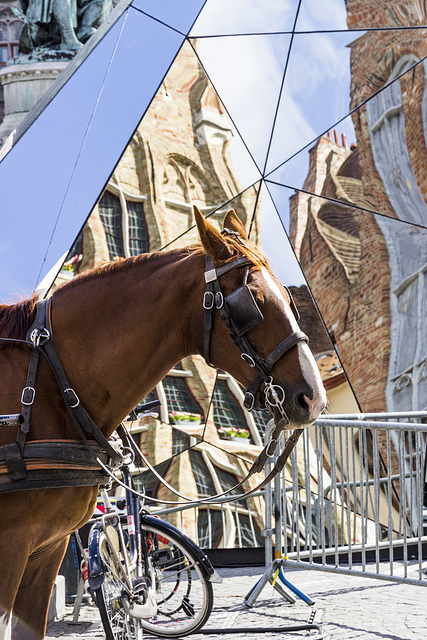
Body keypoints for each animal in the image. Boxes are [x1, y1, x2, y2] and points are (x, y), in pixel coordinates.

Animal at [0, 208, 324, 636]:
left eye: (290, 299)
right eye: (252, 301)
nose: (314, 397)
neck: (46, 382)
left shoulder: (45, 549)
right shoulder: (13, 546)